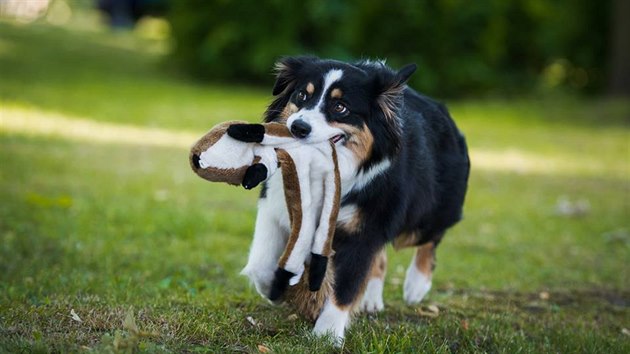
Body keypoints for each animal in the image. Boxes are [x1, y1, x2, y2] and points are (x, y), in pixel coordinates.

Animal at [241, 55, 470, 342]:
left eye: (340, 107)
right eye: (302, 95)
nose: (298, 127)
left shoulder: (364, 229)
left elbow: (346, 285)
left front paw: (327, 334)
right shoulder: (275, 206)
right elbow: (261, 265)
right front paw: (278, 288)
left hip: (421, 217)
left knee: (431, 238)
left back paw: (416, 285)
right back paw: (371, 299)